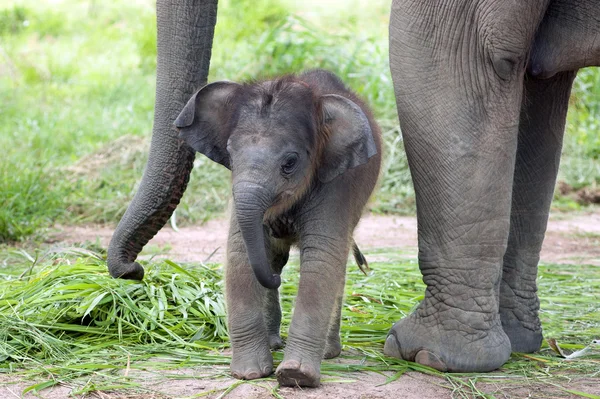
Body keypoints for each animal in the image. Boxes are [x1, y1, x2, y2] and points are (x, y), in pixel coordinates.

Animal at [175, 69, 380, 388]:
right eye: (230, 154)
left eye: (290, 162)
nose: (274, 279)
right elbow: (240, 252)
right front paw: (249, 373)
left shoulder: (337, 184)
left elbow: (322, 260)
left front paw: (296, 376)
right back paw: (274, 342)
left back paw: (329, 352)